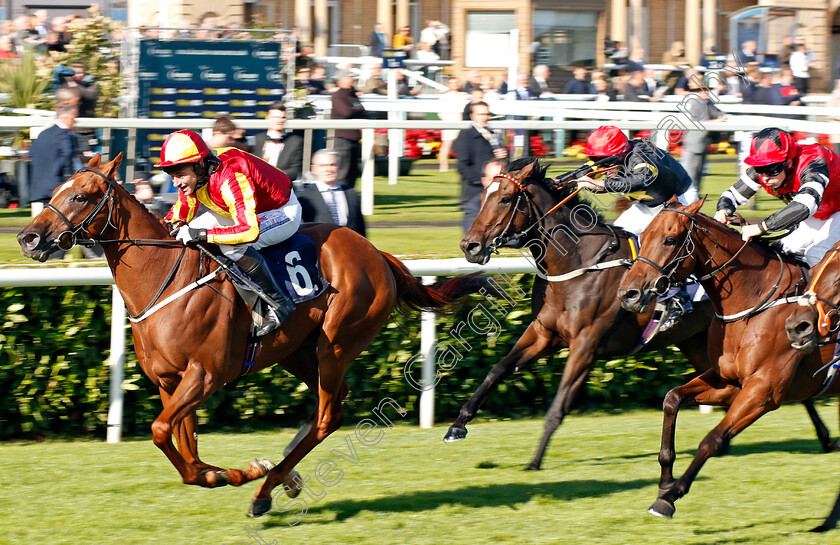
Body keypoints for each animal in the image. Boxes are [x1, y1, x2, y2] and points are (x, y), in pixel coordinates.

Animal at [16, 152, 480, 516]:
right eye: (55, 190)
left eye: (80, 196)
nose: (27, 237)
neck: (164, 281)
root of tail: (377, 253)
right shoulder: (170, 383)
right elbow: (186, 448)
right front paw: (223, 472)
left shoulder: (205, 375)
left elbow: (162, 432)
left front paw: (241, 473)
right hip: (297, 351)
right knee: (327, 404)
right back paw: (283, 476)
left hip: (336, 343)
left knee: (328, 415)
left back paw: (265, 488)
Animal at [616, 199, 840, 524]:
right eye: (642, 237)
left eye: (670, 239)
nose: (628, 294)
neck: (754, 304)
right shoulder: (729, 382)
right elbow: (672, 399)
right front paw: (665, 481)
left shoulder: (762, 392)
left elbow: (712, 439)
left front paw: (669, 497)